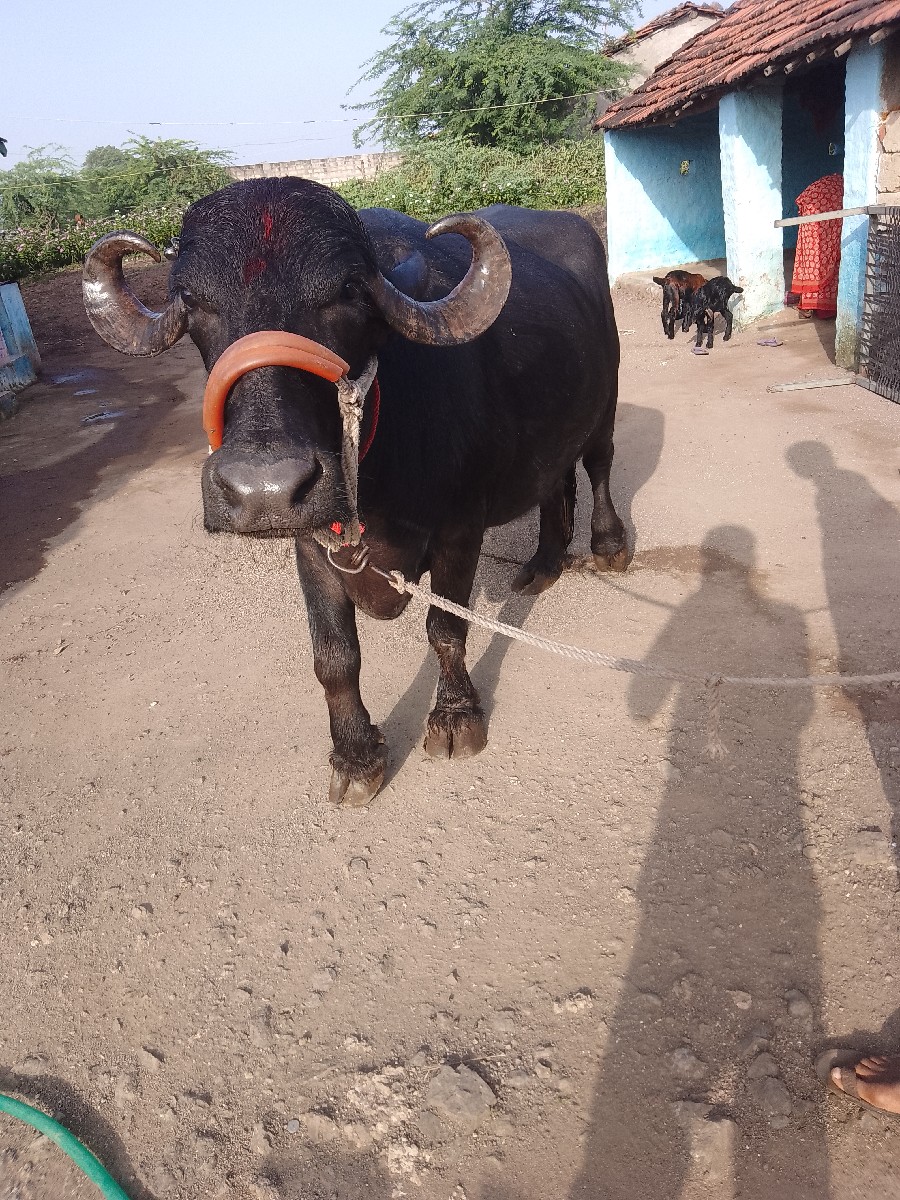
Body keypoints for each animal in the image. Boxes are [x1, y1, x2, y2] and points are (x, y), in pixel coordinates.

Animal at [82, 178, 628, 806]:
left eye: (345, 294)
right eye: (193, 302)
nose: (263, 489)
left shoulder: (460, 529)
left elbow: (446, 629)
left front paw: (455, 719)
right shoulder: (312, 542)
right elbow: (334, 656)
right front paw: (356, 754)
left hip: (607, 403)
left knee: (598, 466)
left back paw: (609, 546)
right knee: (552, 481)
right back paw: (542, 563)